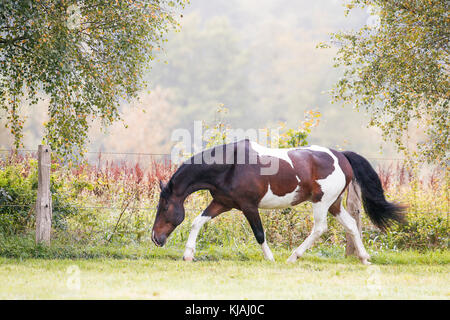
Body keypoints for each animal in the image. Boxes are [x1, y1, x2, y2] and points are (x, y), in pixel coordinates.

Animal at [150, 139, 404, 264]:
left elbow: (259, 233)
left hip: (322, 202)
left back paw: (293, 257)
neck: (230, 165)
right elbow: (196, 222)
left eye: (164, 206)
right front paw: (188, 255)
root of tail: (341, 156)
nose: (155, 238)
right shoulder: (222, 203)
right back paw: (364, 258)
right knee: (351, 225)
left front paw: (270, 258)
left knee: (319, 228)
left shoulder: (248, 207)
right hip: (334, 204)